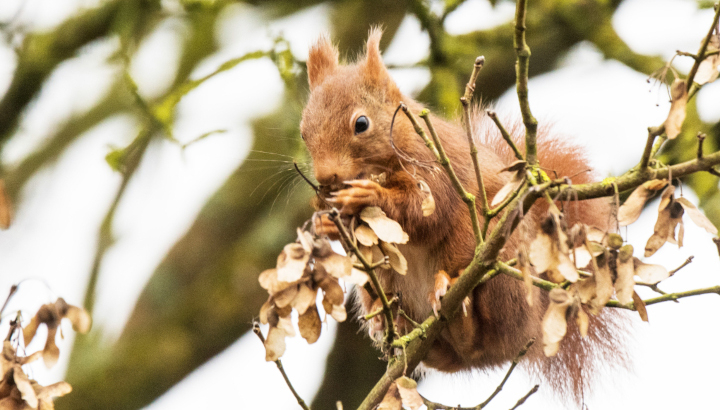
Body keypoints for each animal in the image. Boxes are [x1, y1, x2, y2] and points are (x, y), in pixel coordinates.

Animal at [298, 30, 624, 402]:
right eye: (303, 131)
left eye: (361, 124)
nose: (326, 178)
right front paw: (326, 219)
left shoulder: (437, 170)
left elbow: (427, 214)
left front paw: (368, 195)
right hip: (378, 284)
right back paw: (388, 325)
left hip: (500, 270)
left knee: (480, 332)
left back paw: (452, 300)